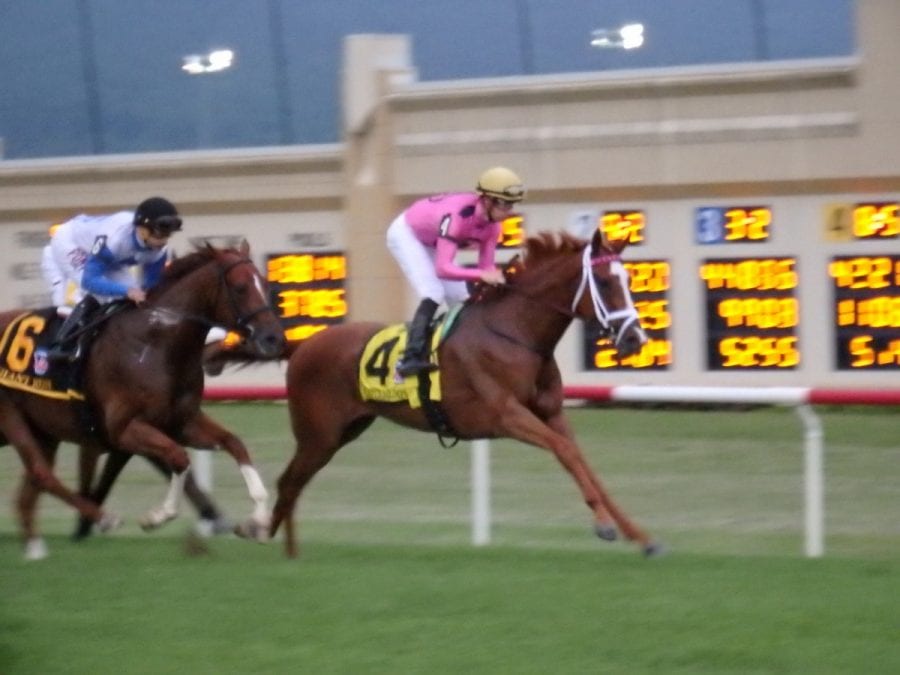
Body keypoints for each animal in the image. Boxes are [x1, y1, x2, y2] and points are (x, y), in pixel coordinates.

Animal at [1, 242, 284, 560]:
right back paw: (102, 518)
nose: (274, 338)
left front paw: (257, 521)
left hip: (44, 431)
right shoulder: (124, 429)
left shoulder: (181, 423)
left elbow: (234, 444)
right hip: (10, 416)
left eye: (264, 283)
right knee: (42, 473)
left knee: (31, 486)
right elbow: (178, 457)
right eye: (240, 287)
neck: (155, 345)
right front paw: (158, 516)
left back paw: (36, 549)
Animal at [268, 232, 660, 560]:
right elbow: (563, 451)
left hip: (342, 432)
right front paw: (605, 525)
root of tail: (303, 345)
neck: (515, 332)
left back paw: (284, 548)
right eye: (606, 282)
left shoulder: (551, 413)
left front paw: (639, 535)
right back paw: (268, 542)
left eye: (630, 280)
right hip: (318, 436)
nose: (635, 339)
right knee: (288, 483)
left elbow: (581, 460)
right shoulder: (507, 415)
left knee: (293, 484)